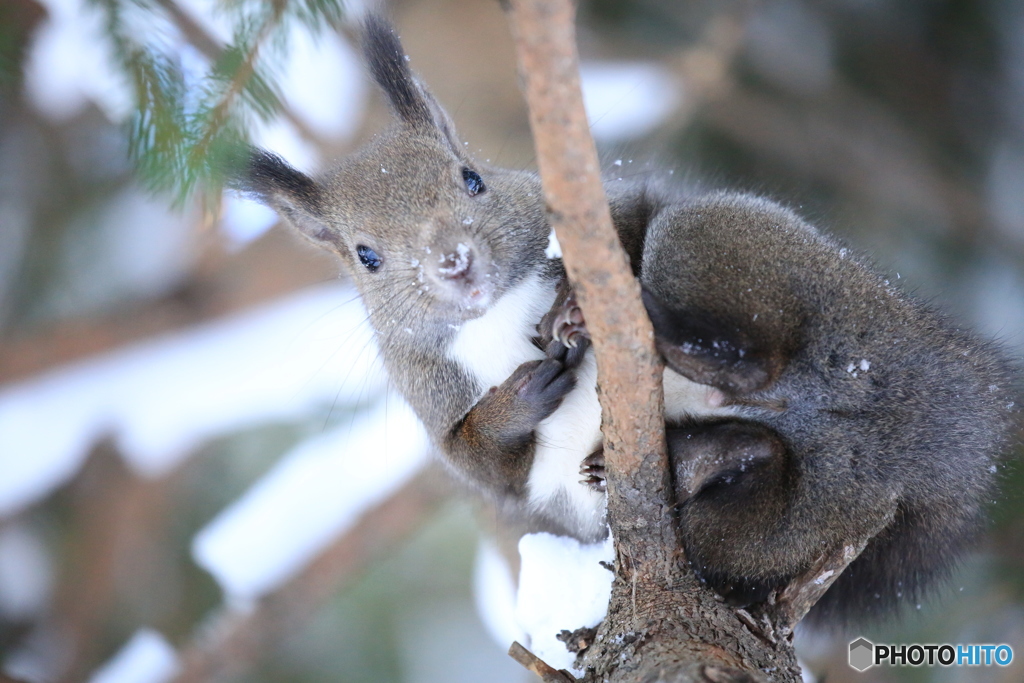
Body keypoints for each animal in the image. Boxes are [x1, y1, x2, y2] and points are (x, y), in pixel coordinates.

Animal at [234, 14, 1015, 626]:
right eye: (366, 256)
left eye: (472, 179)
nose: (454, 261)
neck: (497, 315)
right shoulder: (436, 408)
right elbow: (481, 460)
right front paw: (518, 398)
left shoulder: (603, 216)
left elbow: (631, 225)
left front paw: (570, 304)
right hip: (768, 529)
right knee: (757, 457)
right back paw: (701, 452)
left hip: (715, 243)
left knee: (755, 348)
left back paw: (676, 348)